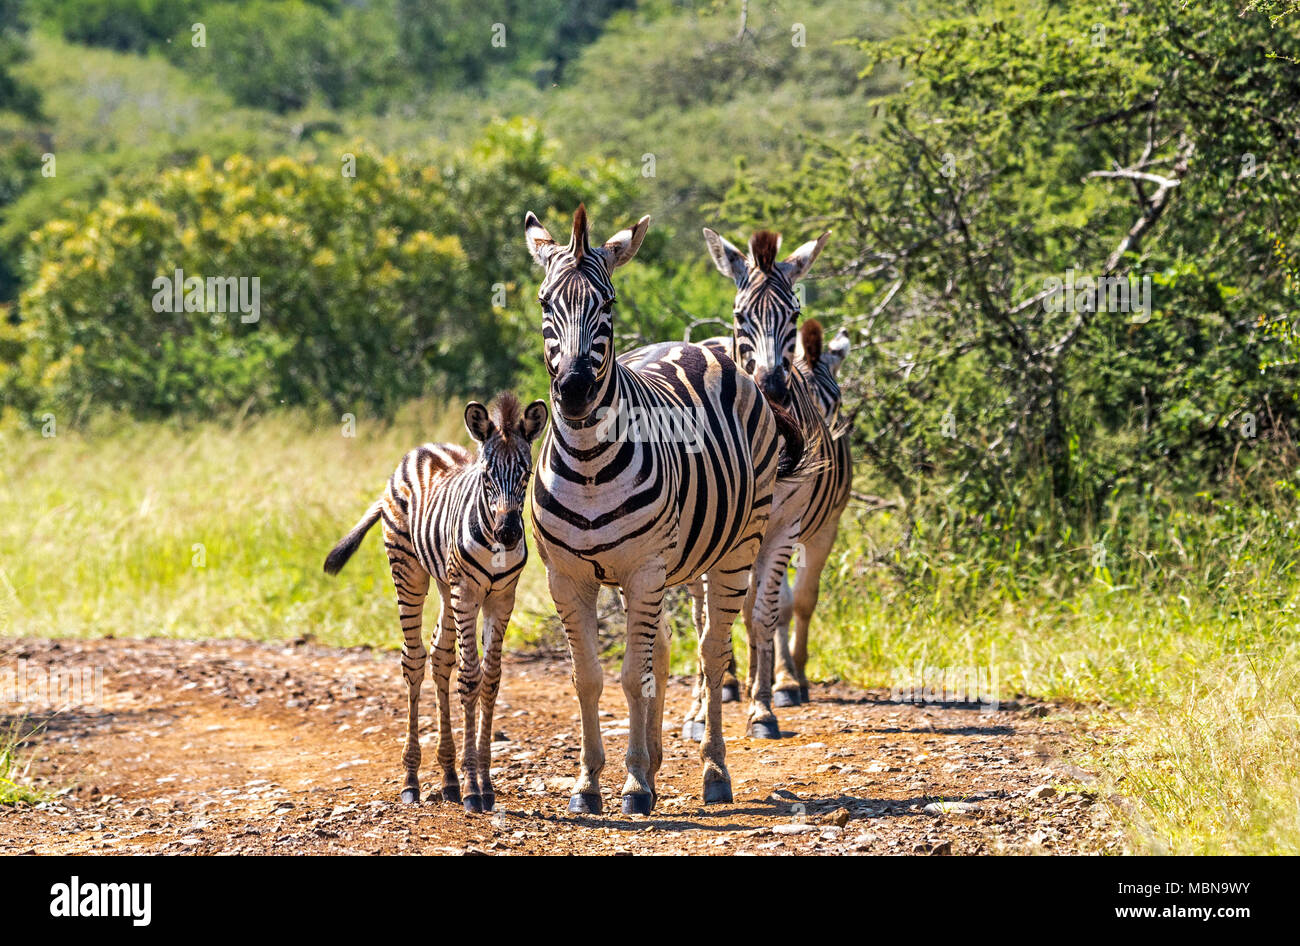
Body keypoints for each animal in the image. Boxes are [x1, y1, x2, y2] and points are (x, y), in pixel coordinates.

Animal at [327, 392, 551, 810]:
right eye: (487, 475)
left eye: (527, 473)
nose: (508, 532)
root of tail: (422, 448)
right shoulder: (468, 592)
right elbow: (470, 677)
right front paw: (474, 788)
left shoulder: (501, 598)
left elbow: (491, 679)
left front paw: (482, 782)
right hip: (411, 570)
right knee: (414, 659)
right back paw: (412, 780)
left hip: (449, 587)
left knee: (440, 655)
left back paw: (448, 779)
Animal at [522, 205, 795, 810]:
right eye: (546, 303)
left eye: (607, 303)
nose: (574, 392)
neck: (588, 462)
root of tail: (695, 346)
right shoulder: (567, 577)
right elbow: (589, 678)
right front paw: (589, 784)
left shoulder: (644, 570)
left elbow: (630, 676)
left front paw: (634, 784)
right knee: (664, 654)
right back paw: (656, 760)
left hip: (736, 547)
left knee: (712, 651)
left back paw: (713, 771)